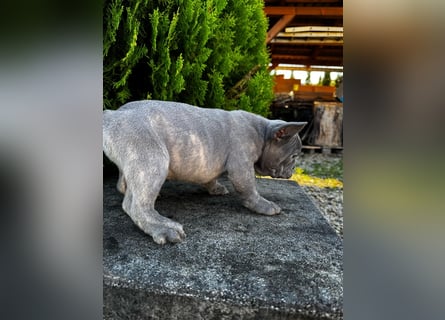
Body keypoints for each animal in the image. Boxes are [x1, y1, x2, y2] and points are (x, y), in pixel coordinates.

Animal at [103, 100, 306, 245]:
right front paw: (263, 205)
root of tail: (112, 115)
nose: (293, 171)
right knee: (136, 205)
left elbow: (211, 178)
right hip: (152, 157)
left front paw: (215, 188)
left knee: (126, 185)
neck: (263, 132)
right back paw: (162, 227)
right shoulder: (242, 166)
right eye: (294, 156)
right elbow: (249, 189)